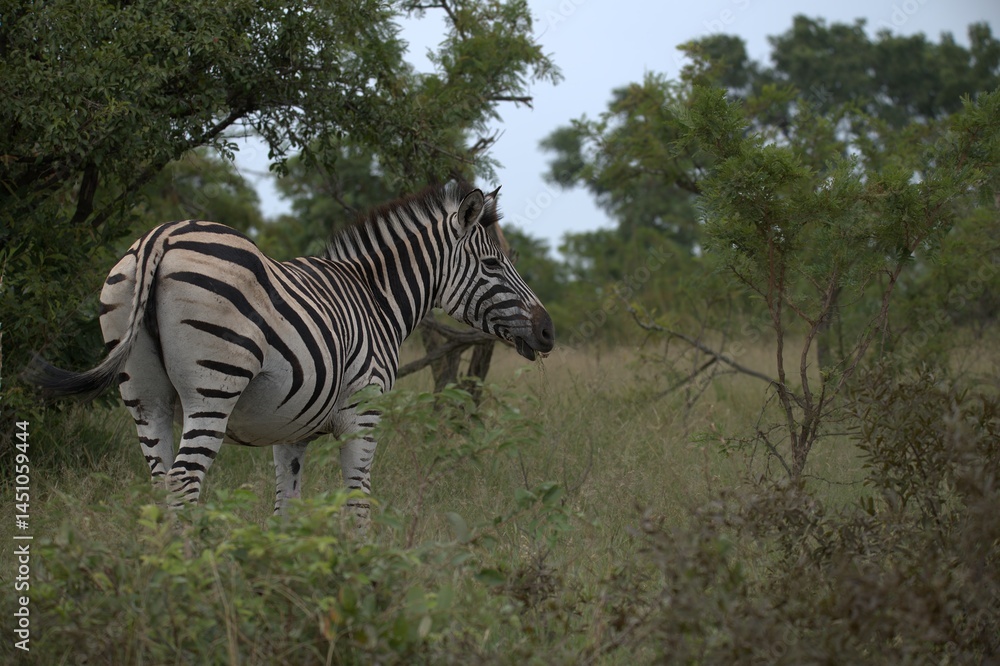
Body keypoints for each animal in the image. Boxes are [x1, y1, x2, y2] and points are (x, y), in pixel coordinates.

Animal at [30, 182, 554, 523]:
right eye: (492, 264)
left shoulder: (289, 430)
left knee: (159, 487)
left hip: (144, 396)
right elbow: (358, 504)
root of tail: (163, 235)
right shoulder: (363, 414)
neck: (376, 298)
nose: (548, 332)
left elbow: (287, 510)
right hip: (212, 389)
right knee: (183, 485)